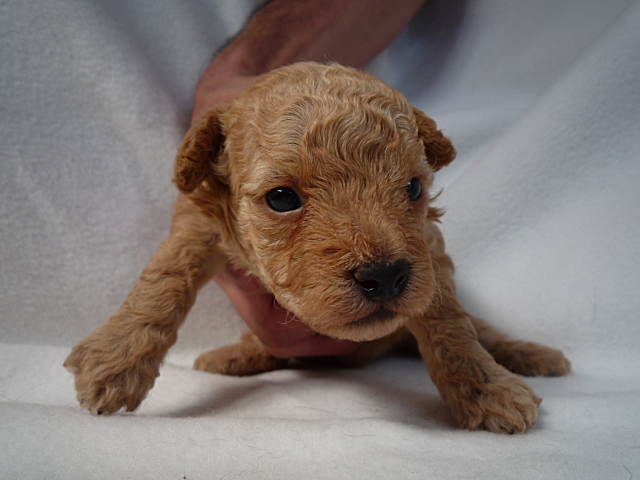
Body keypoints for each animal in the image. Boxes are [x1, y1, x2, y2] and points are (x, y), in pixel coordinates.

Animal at [65, 62, 570, 433]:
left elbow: (452, 325)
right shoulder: (199, 222)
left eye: (412, 187)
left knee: (487, 332)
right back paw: (234, 356)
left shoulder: (428, 249)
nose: (385, 275)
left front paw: (489, 390)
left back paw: (535, 355)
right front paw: (114, 363)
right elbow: (163, 279)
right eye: (282, 198)